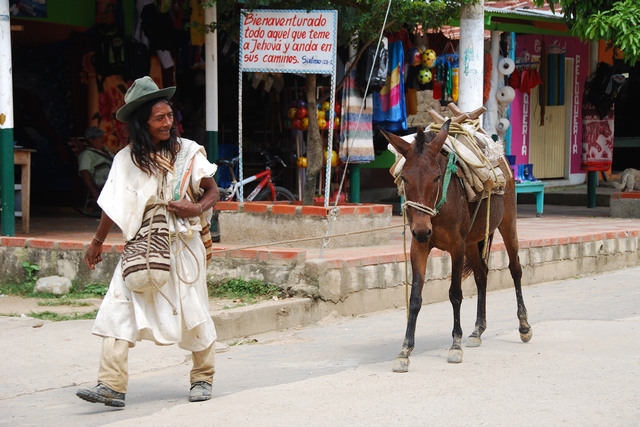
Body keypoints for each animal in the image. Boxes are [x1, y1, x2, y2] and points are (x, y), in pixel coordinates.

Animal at [380, 114, 532, 373]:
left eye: (436, 177)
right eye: (405, 178)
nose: (422, 230)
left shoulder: (456, 246)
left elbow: (455, 294)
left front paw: (455, 345)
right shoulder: (419, 247)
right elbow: (415, 298)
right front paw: (405, 351)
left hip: (507, 224)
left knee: (515, 269)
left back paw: (523, 326)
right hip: (472, 241)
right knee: (482, 274)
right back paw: (477, 330)